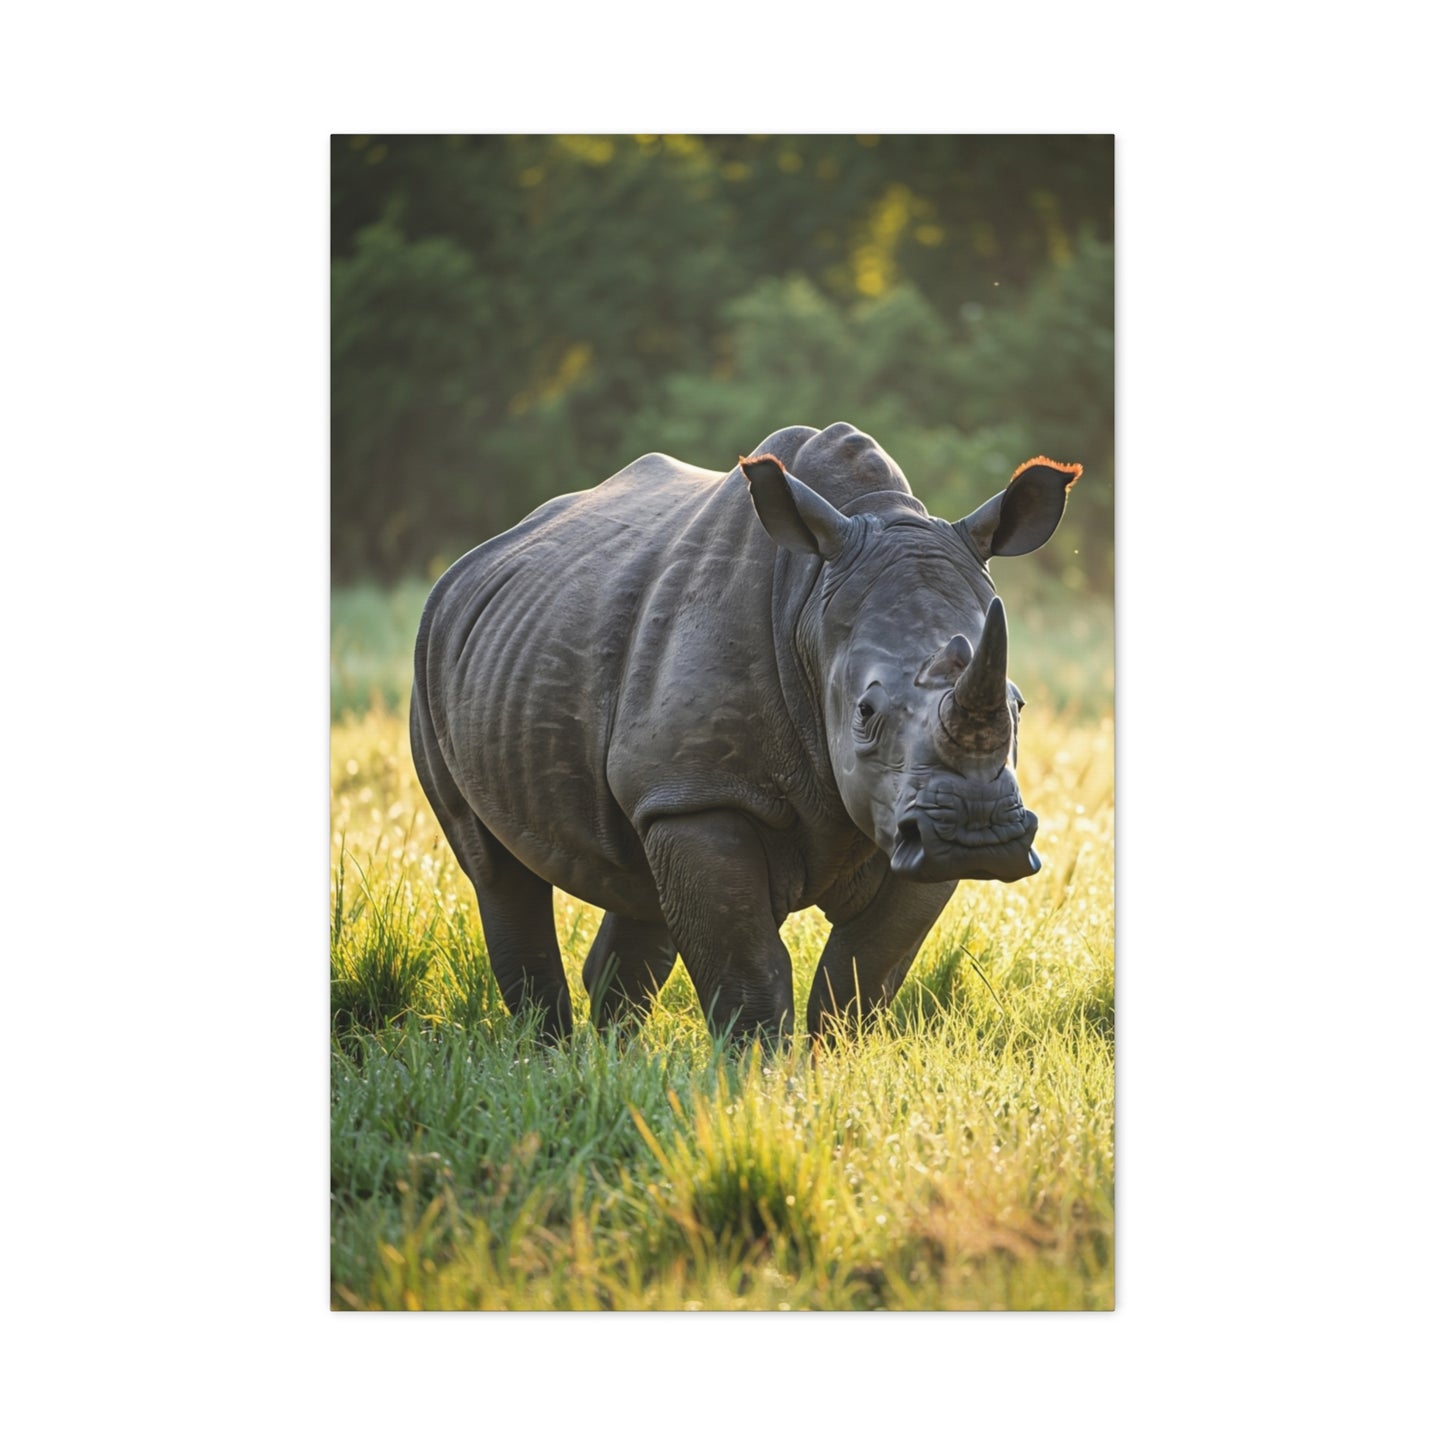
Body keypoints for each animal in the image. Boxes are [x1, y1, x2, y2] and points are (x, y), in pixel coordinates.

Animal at [411, 422, 1079, 1044]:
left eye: (1018, 705)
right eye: (865, 713)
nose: (977, 833)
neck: (810, 611)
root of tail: (471, 561)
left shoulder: (906, 823)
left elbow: (861, 975)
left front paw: (832, 1067)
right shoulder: (703, 793)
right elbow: (748, 974)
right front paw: (760, 1080)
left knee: (639, 884)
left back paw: (609, 1061)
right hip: (431, 653)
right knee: (496, 871)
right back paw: (547, 1055)